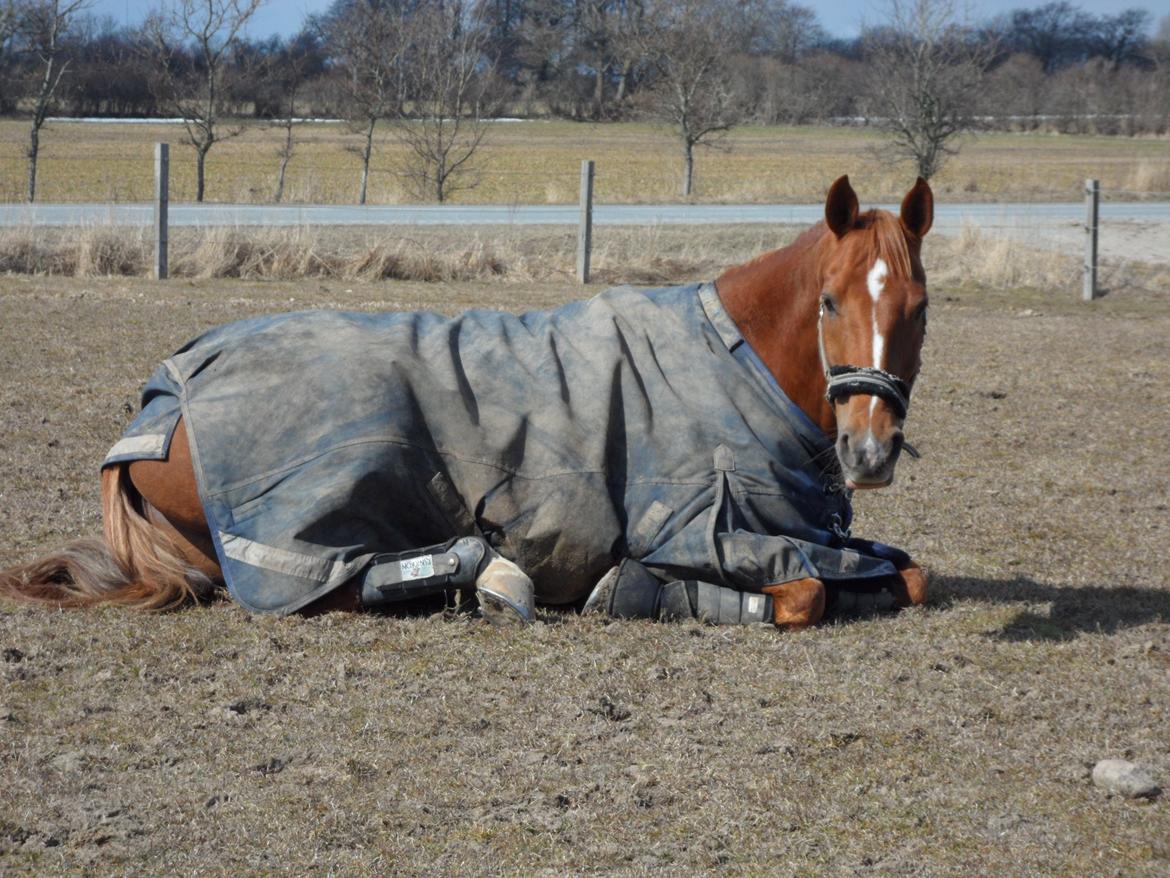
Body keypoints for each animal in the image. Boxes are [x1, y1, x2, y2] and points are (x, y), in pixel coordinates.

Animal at [0, 179, 931, 627]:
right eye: (829, 303)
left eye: (919, 307)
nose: (869, 452)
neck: (736, 358)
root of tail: (165, 398)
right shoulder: (709, 529)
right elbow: (804, 595)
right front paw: (636, 590)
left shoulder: (816, 533)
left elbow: (910, 575)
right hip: (312, 521)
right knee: (336, 584)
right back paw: (486, 573)